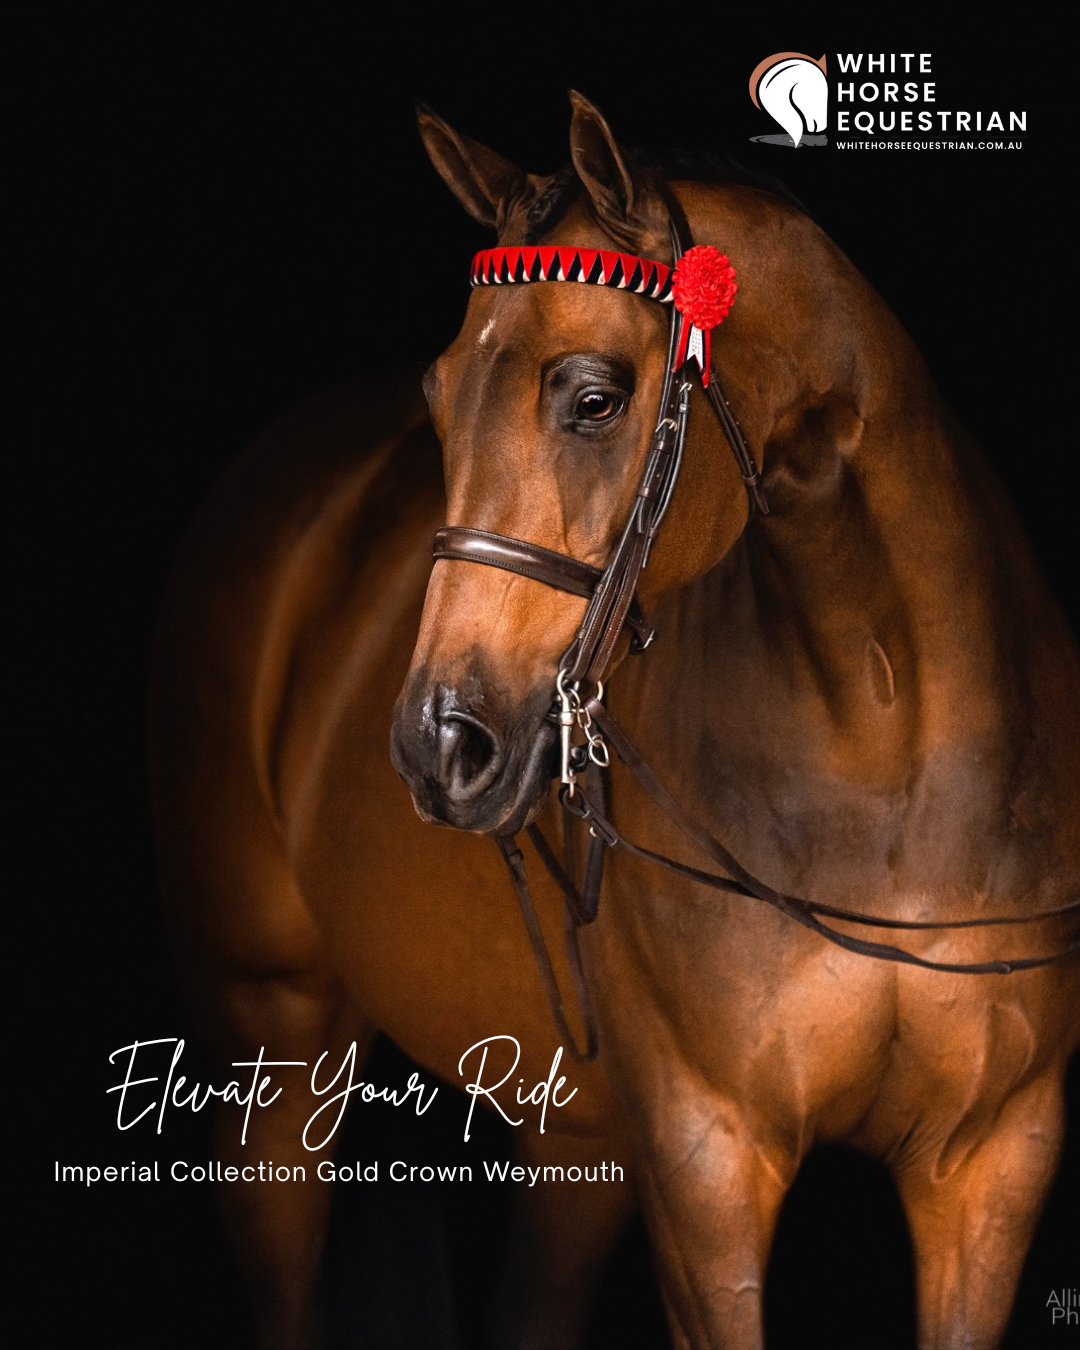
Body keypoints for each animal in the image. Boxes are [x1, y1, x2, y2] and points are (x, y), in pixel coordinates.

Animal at [151, 94, 1080, 1349]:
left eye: (595, 399)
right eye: (438, 400)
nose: (441, 745)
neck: (889, 754)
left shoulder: (993, 1163)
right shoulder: (706, 1162)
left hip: (573, 1132)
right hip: (275, 1041)